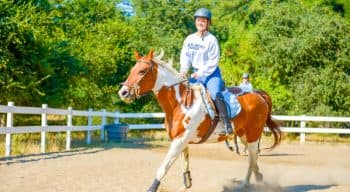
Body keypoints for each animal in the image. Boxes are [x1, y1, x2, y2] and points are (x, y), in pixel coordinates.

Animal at [117, 50, 282, 192]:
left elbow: (163, 168)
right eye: (132, 70)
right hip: (243, 135)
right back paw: (257, 177)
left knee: (252, 158)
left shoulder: (179, 140)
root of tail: (258, 94)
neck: (180, 103)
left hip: (253, 134)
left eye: (142, 71)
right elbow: (185, 165)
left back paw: (245, 185)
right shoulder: (181, 141)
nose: (123, 92)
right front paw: (186, 184)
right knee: (253, 158)